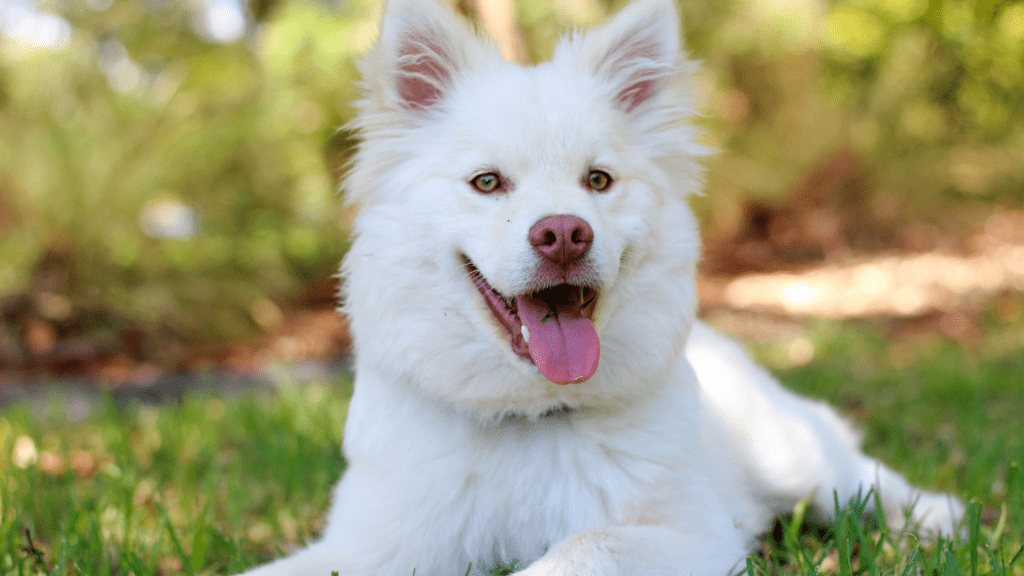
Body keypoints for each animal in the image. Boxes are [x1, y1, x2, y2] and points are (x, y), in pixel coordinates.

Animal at [237, 0, 958, 569]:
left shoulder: (692, 534)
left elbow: (584, 545)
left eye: (598, 180)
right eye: (487, 182)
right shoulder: (369, 546)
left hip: (793, 457)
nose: (563, 234)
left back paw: (938, 518)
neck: (529, 420)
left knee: (864, 479)